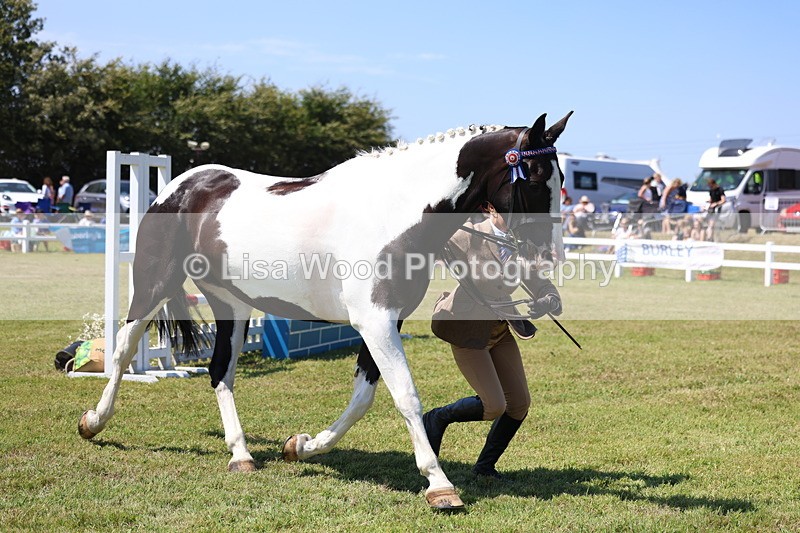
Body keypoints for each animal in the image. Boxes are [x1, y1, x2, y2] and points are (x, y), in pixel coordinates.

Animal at [78, 111, 573, 510]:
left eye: (561, 179)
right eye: (533, 174)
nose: (548, 257)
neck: (395, 213)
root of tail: (181, 185)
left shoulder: (384, 322)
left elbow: (362, 399)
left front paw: (301, 446)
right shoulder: (374, 321)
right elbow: (406, 396)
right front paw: (439, 485)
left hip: (231, 304)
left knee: (221, 371)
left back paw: (241, 454)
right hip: (154, 286)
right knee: (123, 349)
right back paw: (94, 422)